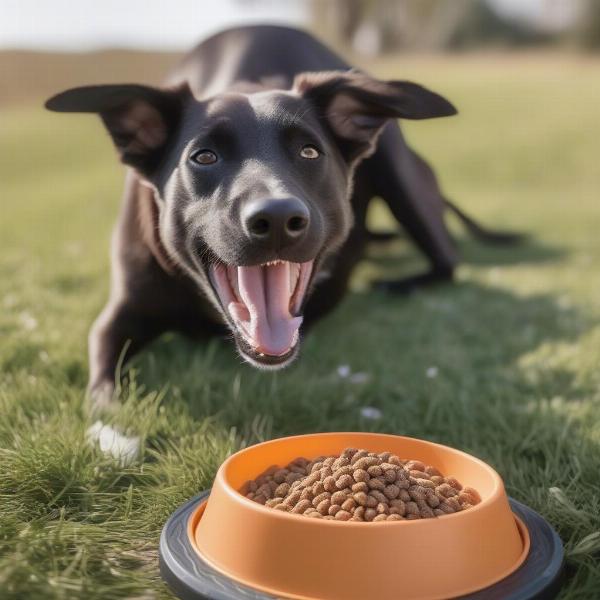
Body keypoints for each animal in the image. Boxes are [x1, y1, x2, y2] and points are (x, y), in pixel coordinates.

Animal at [47, 24, 516, 412]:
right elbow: (102, 366)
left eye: (309, 151)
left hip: (398, 173)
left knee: (447, 261)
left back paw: (396, 284)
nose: (276, 218)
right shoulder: (121, 311)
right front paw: (110, 422)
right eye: (204, 156)